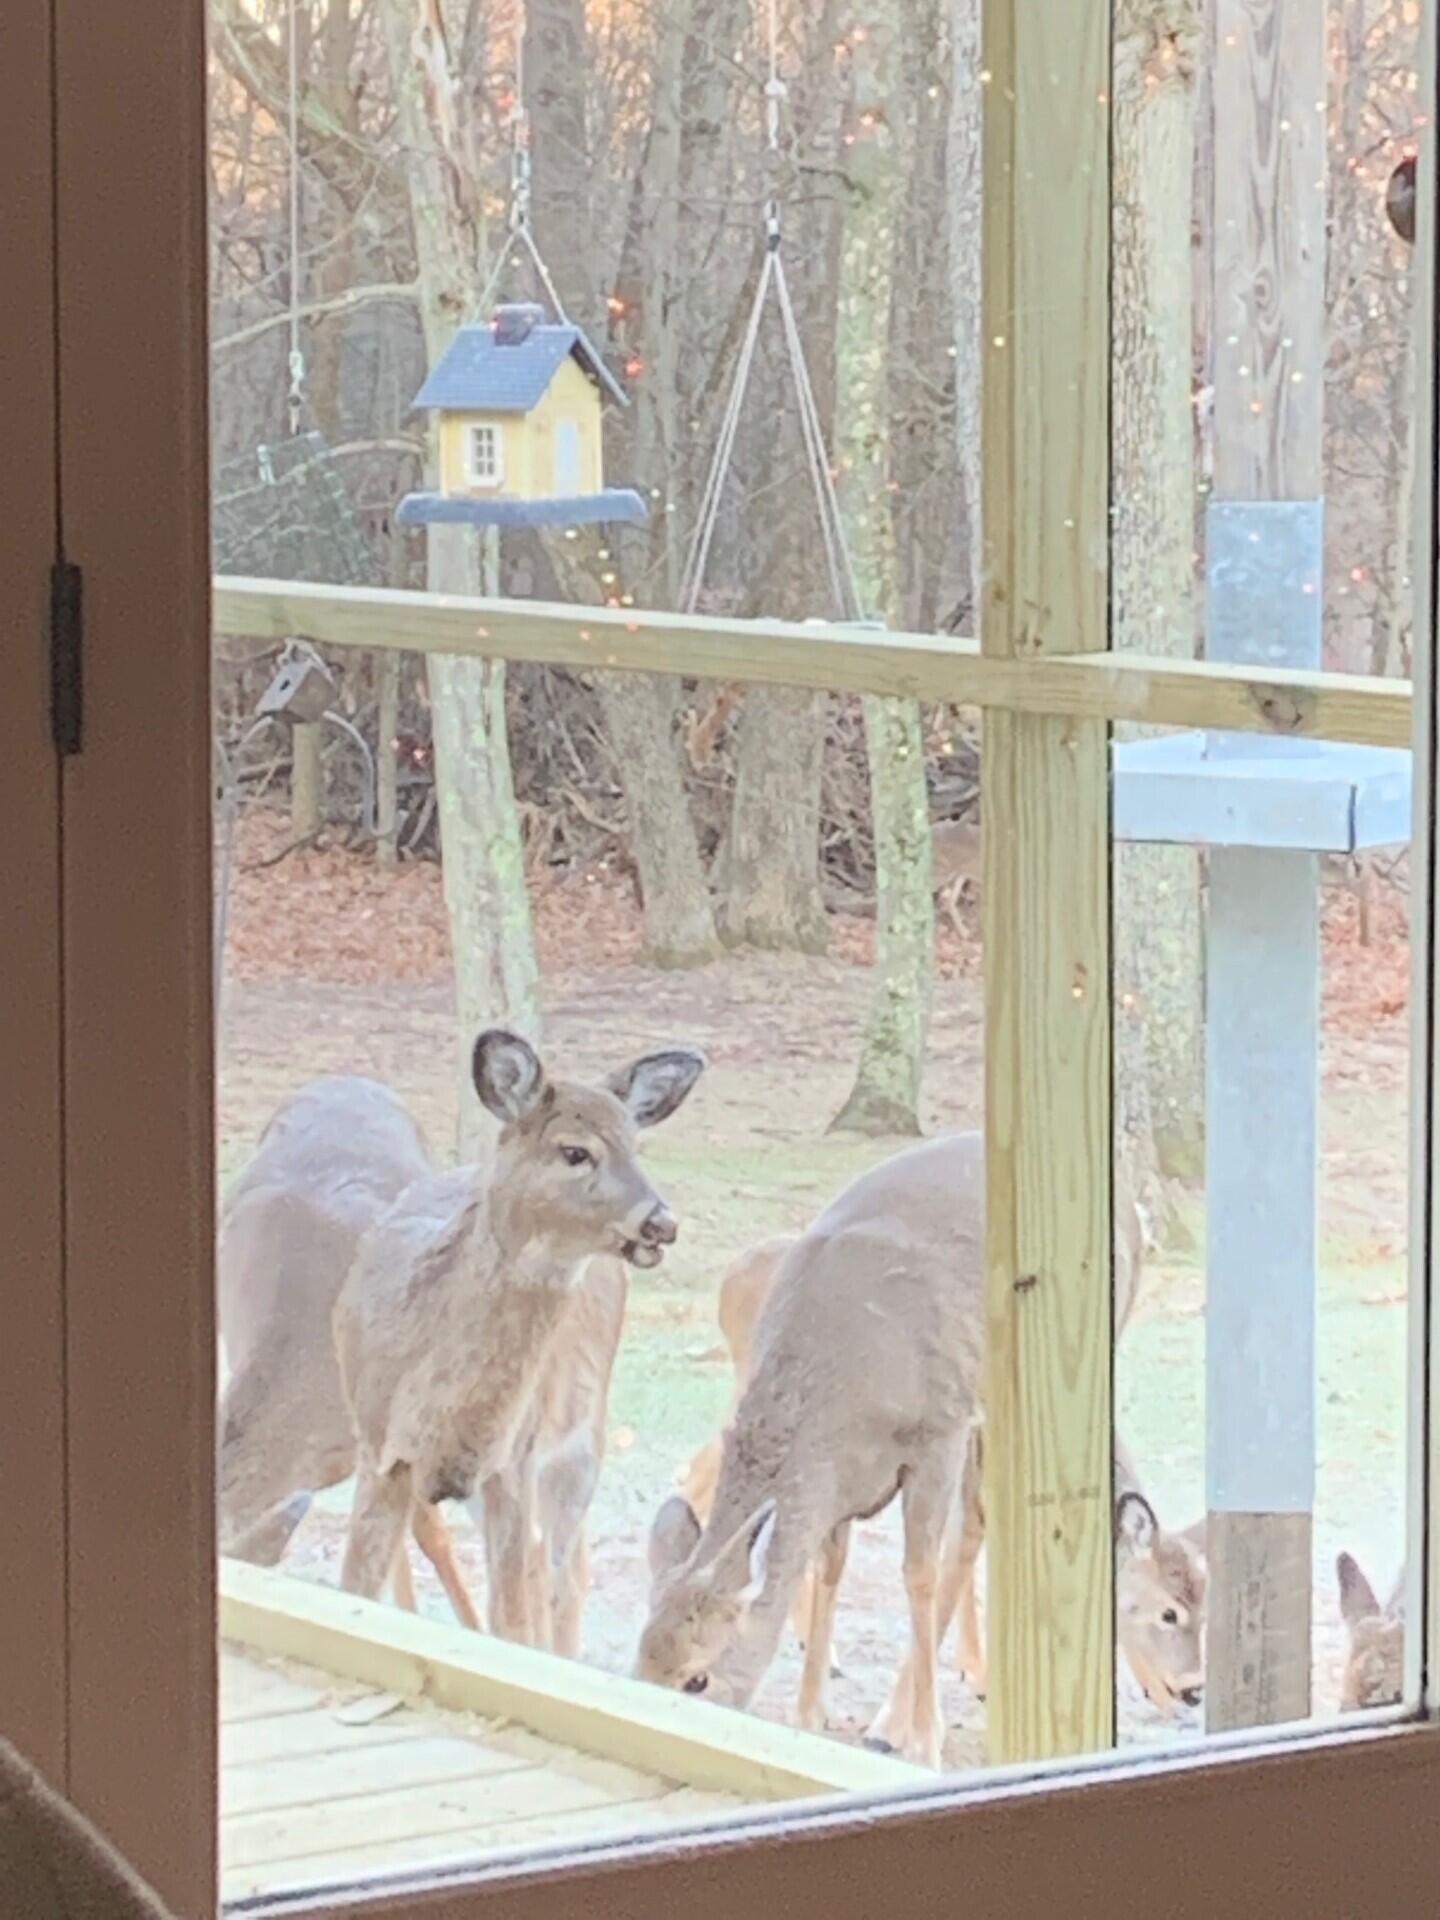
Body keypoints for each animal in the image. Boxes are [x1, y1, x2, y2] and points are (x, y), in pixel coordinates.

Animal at [641, 1128, 1205, 1758]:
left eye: (697, 1677)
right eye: (638, 1664)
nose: (1192, 1688)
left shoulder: (938, 1430)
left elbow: (919, 1573)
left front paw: (922, 1738)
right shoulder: (839, 1480)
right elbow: (832, 1566)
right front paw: (811, 1713)